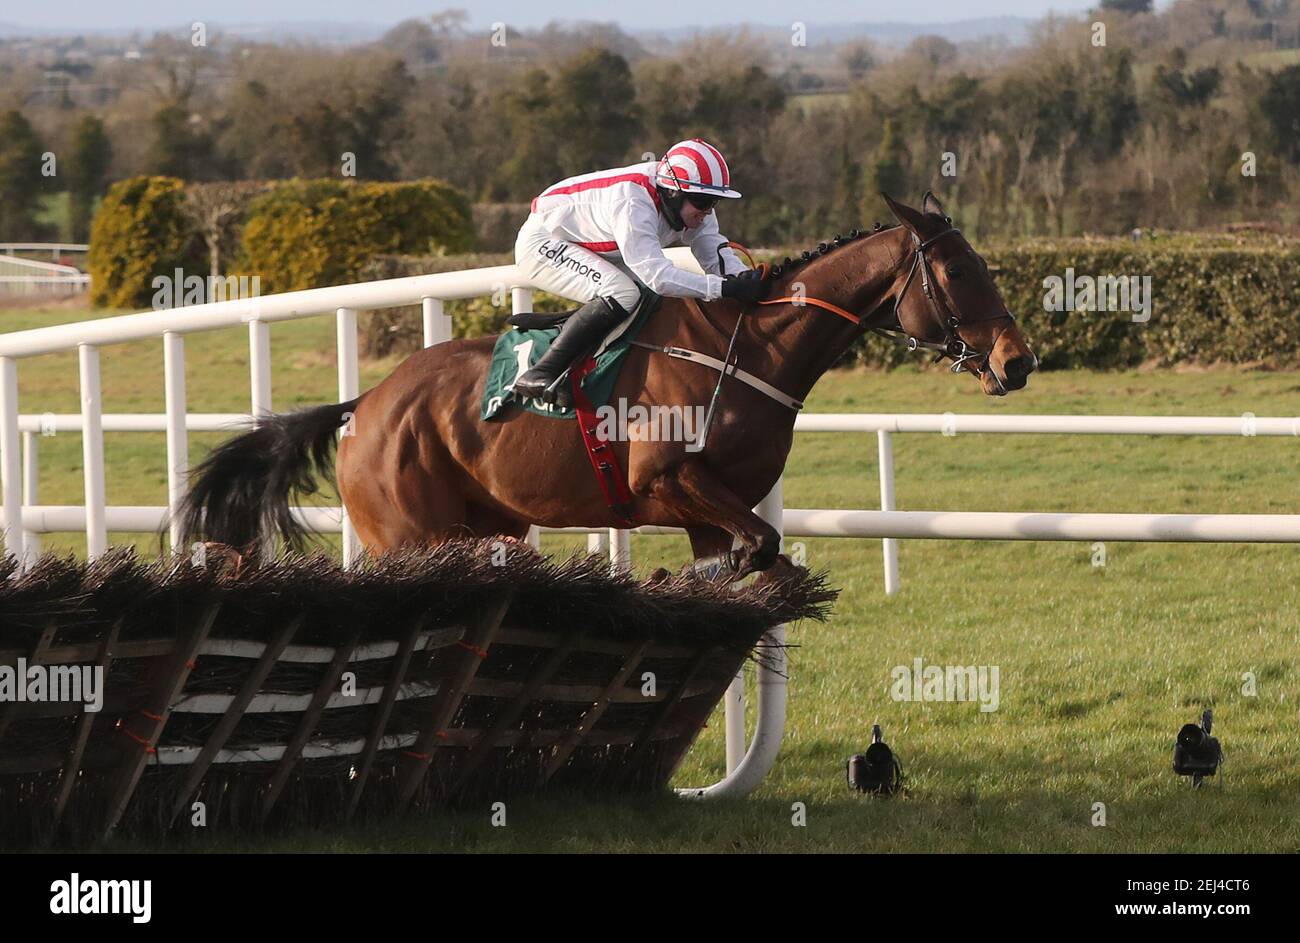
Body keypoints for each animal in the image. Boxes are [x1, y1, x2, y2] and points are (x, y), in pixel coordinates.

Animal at [180, 191, 1034, 574]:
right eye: (959, 271)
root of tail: (369, 403)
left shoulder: (711, 508)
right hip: (406, 533)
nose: (1016, 360)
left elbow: (746, 555)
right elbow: (759, 544)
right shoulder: (669, 478)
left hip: (485, 519)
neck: (746, 350)